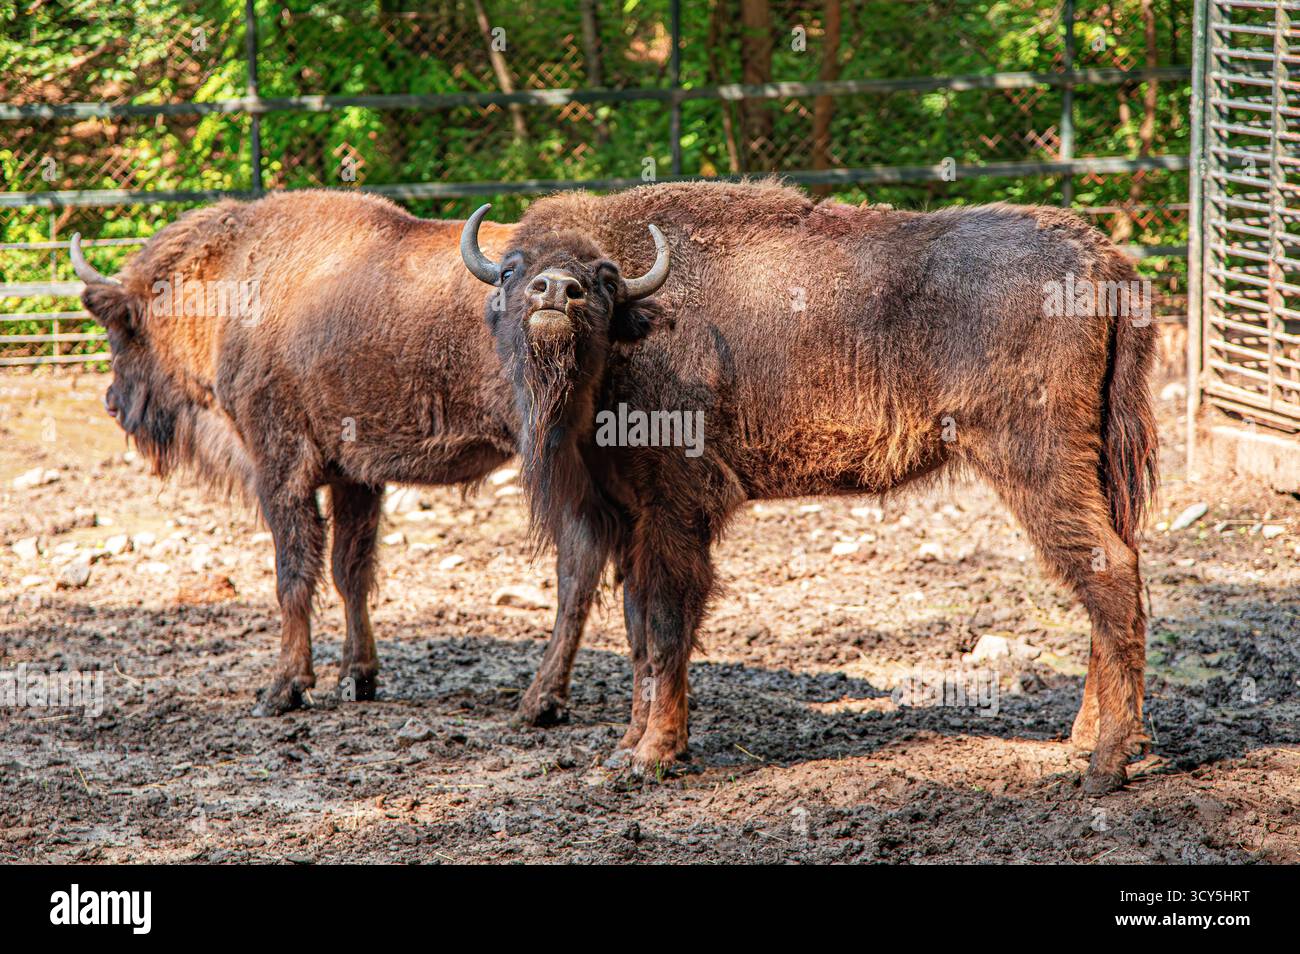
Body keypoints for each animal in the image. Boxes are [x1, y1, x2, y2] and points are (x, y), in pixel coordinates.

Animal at [72, 189, 602, 723]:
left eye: (123, 331)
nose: (112, 401)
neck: (234, 279)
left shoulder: (280, 469)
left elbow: (293, 574)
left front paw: (285, 688)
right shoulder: (355, 478)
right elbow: (351, 571)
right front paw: (357, 677)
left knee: (576, 564)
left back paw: (541, 701)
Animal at [462, 180, 1158, 794]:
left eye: (605, 277)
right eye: (512, 270)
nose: (557, 290)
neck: (640, 320)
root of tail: (1103, 260)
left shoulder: (673, 514)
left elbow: (665, 631)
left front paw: (653, 755)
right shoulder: (634, 523)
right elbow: (639, 634)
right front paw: (627, 748)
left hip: (1035, 462)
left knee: (1108, 573)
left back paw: (1105, 765)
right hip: (1094, 467)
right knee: (1117, 568)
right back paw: (1089, 737)